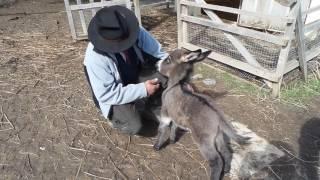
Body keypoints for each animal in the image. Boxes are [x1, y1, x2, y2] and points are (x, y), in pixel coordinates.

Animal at [155, 48, 250, 179]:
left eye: (168, 60)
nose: (156, 64)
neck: (176, 84)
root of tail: (217, 115)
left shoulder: (165, 112)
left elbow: (162, 129)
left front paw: (157, 146)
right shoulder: (176, 114)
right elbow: (174, 125)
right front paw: (173, 140)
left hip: (204, 140)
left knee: (216, 160)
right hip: (217, 135)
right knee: (226, 151)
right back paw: (226, 170)